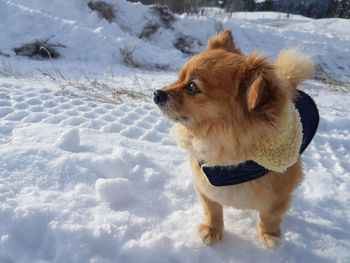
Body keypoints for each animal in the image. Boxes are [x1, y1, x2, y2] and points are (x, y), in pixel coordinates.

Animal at [153, 30, 318, 248]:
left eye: (192, 86)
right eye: (178, 78)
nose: (157, 93)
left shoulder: (279, 197)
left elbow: (270, 216)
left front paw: (269, 235)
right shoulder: (204, 185)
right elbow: (212, 208)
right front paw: (212, 229)